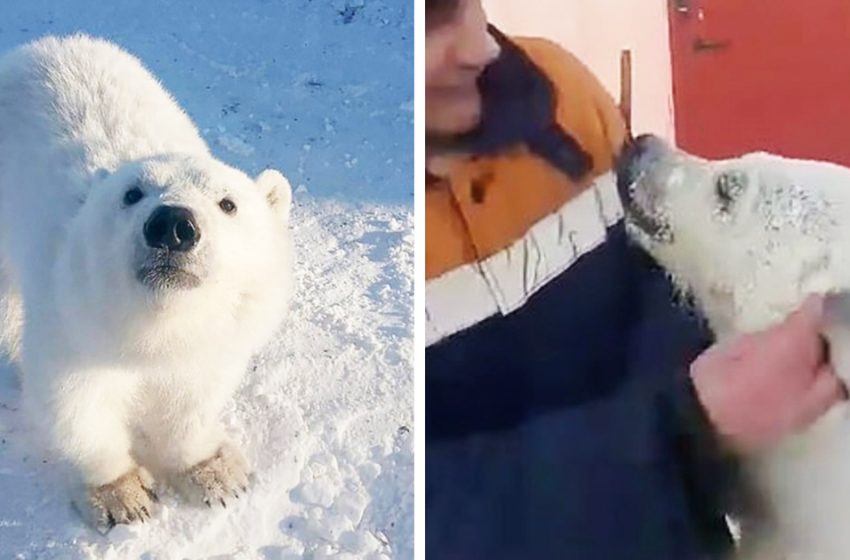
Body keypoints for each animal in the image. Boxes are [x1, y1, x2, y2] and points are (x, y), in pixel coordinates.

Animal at [0, 35, 294, 528]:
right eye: (131, 193)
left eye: (228, 203)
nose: (172, 225)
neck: (151, 329)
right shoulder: (73, 323)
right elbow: (78, 408)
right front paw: (122, 495)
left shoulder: (213, 339)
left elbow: (192, 400)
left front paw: (216, 472)